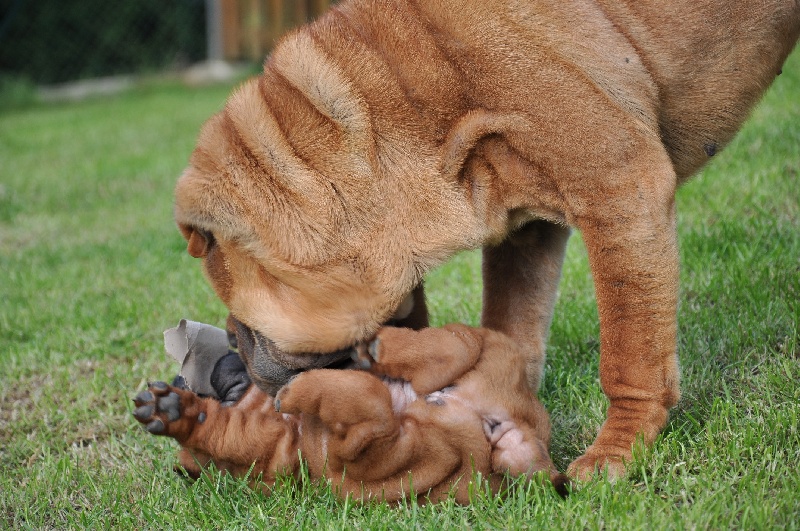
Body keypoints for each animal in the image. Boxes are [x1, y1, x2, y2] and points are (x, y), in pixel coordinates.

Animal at [173, 0, 800, 480]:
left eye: (241, 320)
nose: (230, 345)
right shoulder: (528, 230)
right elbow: (513, 323)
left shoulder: (621, 186)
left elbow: (630, 348)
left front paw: (615, 454)